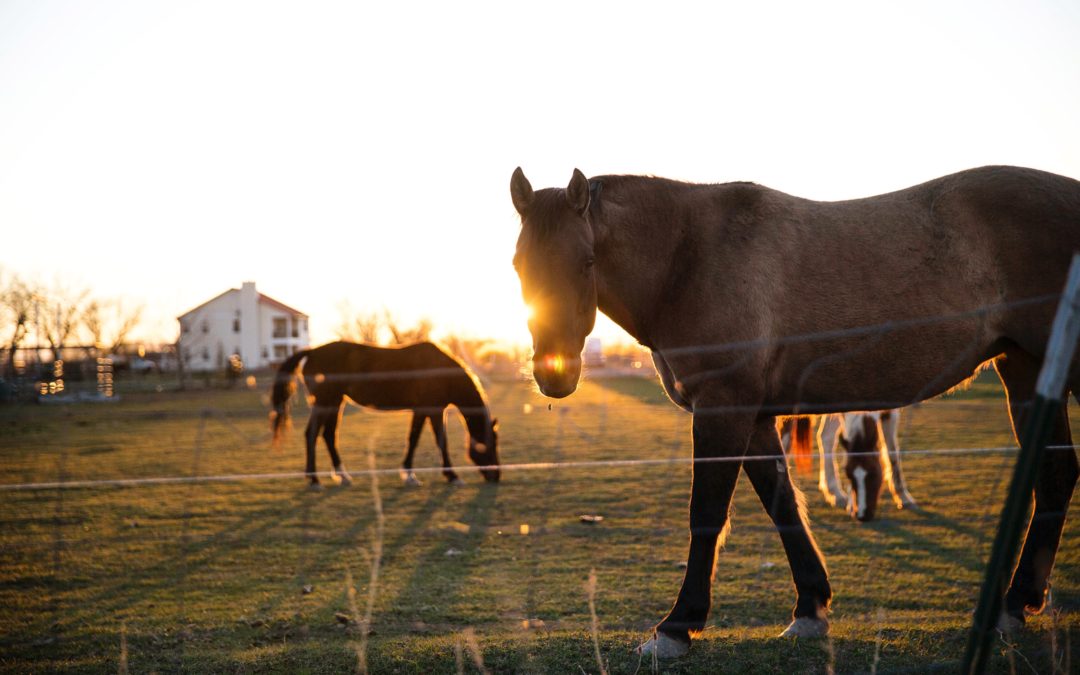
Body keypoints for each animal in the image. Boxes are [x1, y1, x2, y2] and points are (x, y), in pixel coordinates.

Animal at [274, 341, 501, 483]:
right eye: (488, 445)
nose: (496, 476)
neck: (440, 372)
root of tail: (312, 351)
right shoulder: (431, 410)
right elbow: (434, 440)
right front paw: (449, 476)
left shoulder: (426, 411)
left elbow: (417, 439)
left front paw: (412, 474)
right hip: (325, 402)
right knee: (312, 434)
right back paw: (314, 479)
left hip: (335, 402)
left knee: (328, 435)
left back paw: (342, 476)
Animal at [507, 166, 1080, 656]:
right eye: (519, 265)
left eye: (586, 262)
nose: (554, 375)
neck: (689, 258)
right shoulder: (756, 418)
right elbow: (782, 505)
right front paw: (810, 608)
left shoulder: (723, 409)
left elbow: (707, 515)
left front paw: (677, 627)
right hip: (1024, 367)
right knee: (1056, 475)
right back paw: (1015, 605)